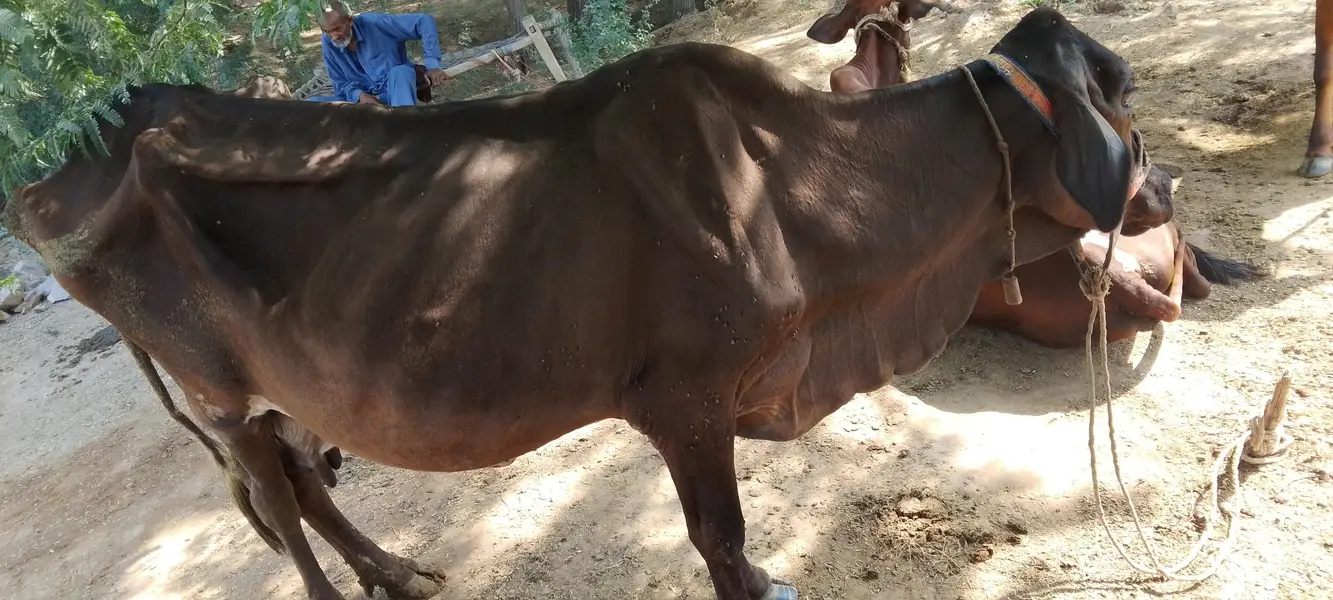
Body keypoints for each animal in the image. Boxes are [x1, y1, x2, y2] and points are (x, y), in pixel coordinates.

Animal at [4, 8, 1167, 600]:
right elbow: (721, 543)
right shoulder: (685, 403)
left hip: (282, 390)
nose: (1159, 193)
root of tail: (65, 169)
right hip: (218, 397)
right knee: (278, 504)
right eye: (1117, 86)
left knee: (301, 478)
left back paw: (398, 574)